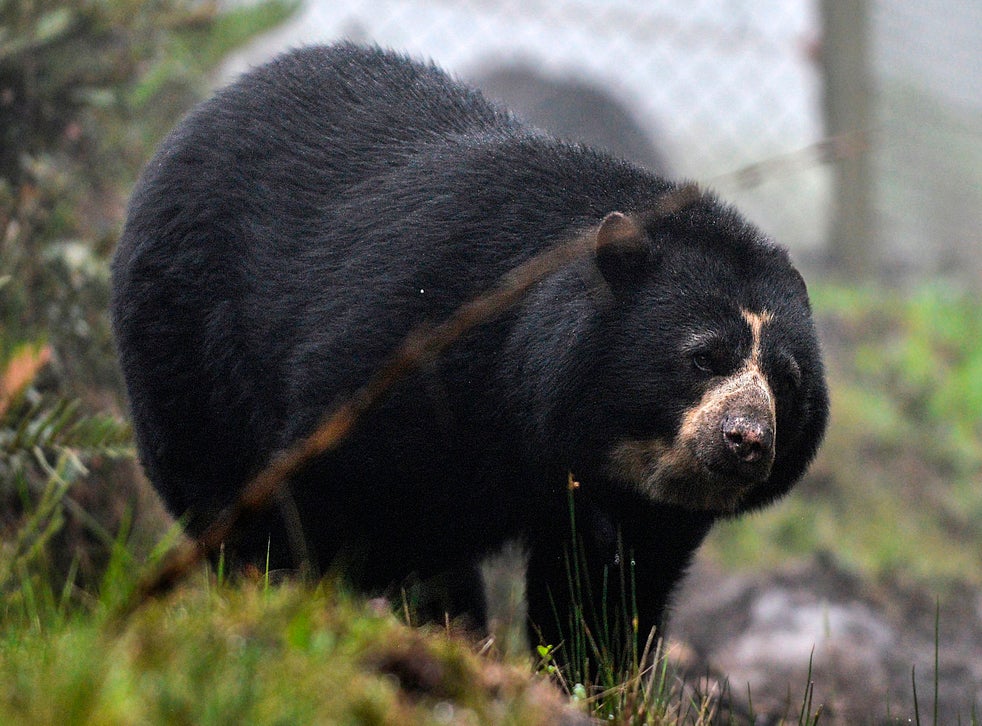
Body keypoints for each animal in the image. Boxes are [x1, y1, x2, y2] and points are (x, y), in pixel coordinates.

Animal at [109, 39, 832, 656]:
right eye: (702, 356)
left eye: (786, 382)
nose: (746, 439)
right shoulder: (408, 341)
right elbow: (332, 483)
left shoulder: (630, 495)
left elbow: (604, 591)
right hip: (186, 336)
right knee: (220, 480)